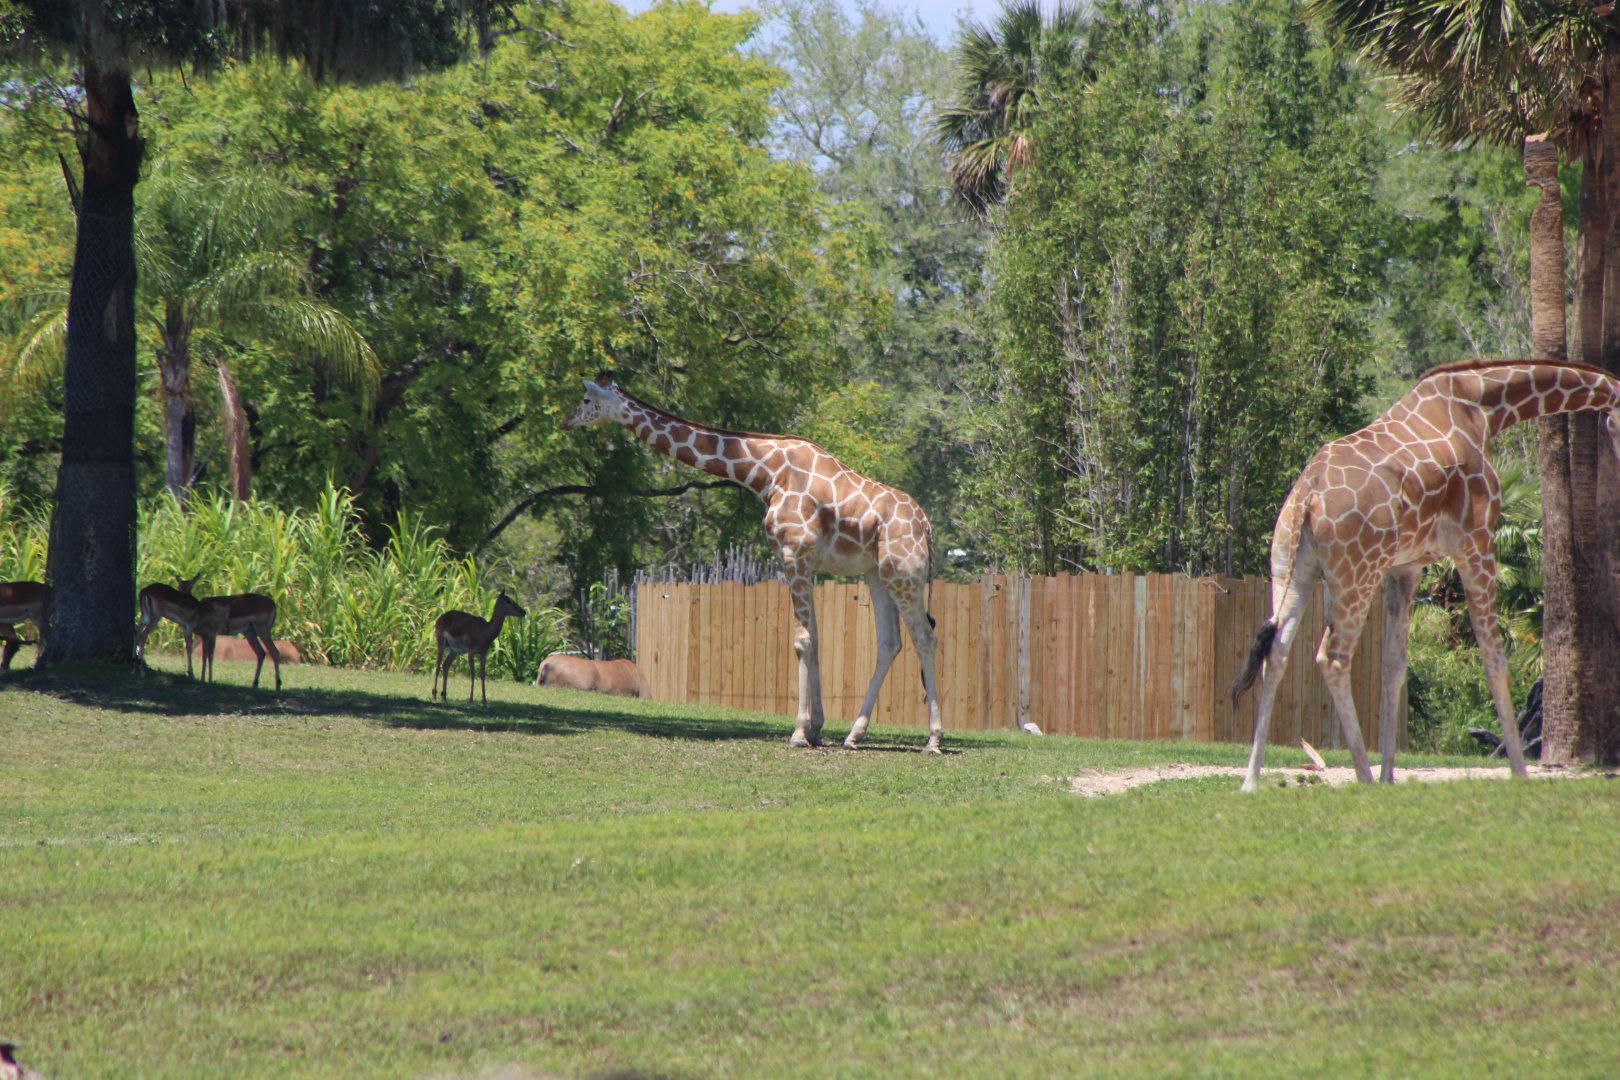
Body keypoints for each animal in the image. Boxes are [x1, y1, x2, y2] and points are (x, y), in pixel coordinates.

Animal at [563, 377, 944, 752]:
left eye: (585, 399)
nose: (566, 421)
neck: (766, 473)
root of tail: (926, 526)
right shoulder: (806, 564)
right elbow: (815, 637)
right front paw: (816, 729)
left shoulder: (794, 555)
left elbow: (803, 640)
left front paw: (798, 733)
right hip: (877, 573)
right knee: (890, 643)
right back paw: (853, 735)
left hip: (903, 573)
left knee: (925, 637)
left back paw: (933, 739)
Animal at [1231, 359, 1620, 793]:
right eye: (1614, 423)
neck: (1484, 408)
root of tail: (1307, 496)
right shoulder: (1476, 543)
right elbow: (1495, 661)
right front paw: (1519, 773)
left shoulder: (1406, 565)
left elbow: (1394, 666)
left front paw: (1390, 776)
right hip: (1355, 573)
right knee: (1331, 658)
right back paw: (1362, 776)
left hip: (1291, 567)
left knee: (1277, 650)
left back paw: (1251, 781)